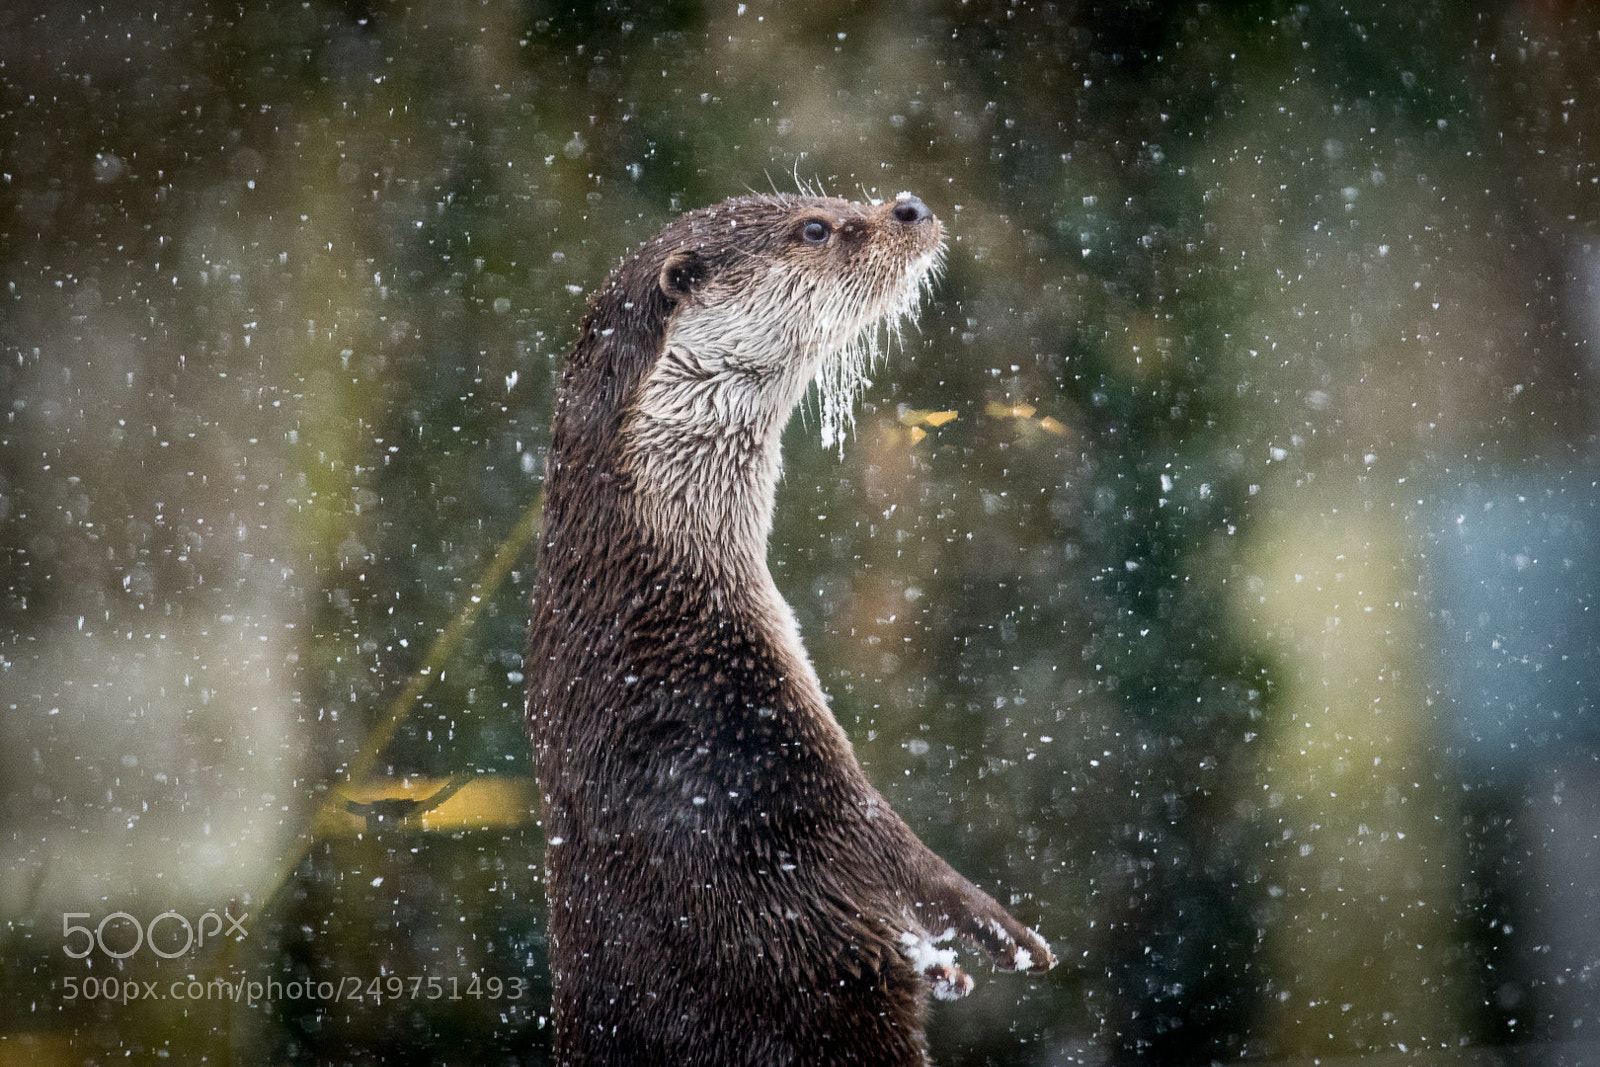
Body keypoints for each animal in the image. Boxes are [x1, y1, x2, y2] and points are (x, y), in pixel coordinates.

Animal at [526, 191, 1055, 1066]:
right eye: (815, 228)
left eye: (837, 202)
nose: (908, 205)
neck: (660, 616)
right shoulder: (751, 750)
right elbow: (882, 854)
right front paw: (1002, 933)